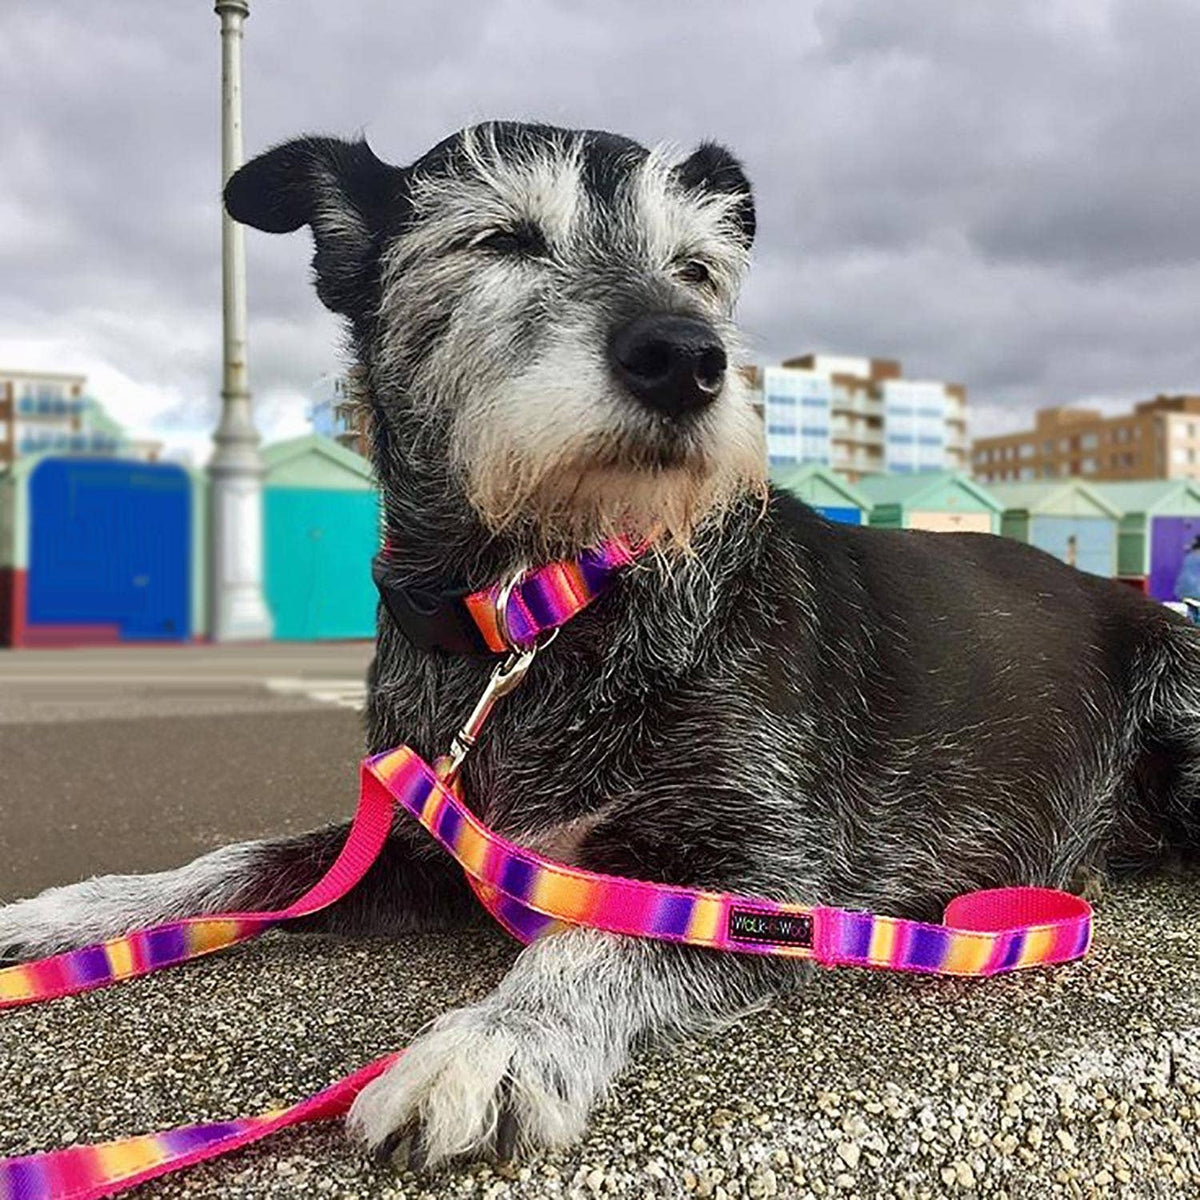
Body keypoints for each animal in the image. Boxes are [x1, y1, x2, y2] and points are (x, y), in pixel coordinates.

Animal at [2, 121, 1200, 1161]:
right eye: (500, 239)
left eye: (698, 269)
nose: (687, 356)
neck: (539, 609)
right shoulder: (421, 833)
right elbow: (241, 860)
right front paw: (81, 911)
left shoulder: (761, 875)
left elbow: (592, 937)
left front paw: (492, 1043)